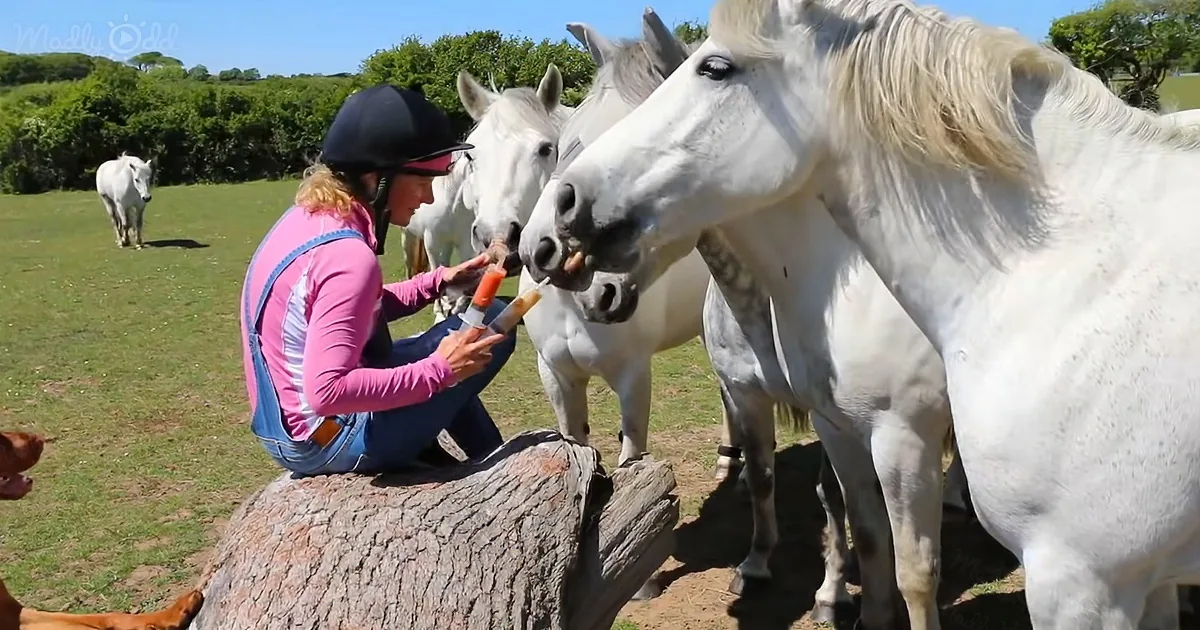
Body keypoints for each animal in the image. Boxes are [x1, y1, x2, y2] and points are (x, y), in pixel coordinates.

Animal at [538, 0, 1200, 626]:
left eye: (717, 68)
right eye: (566, 138)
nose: (549, 232)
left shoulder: (919, 449)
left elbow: (911, 566)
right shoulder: (828, 421)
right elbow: (858, 526)